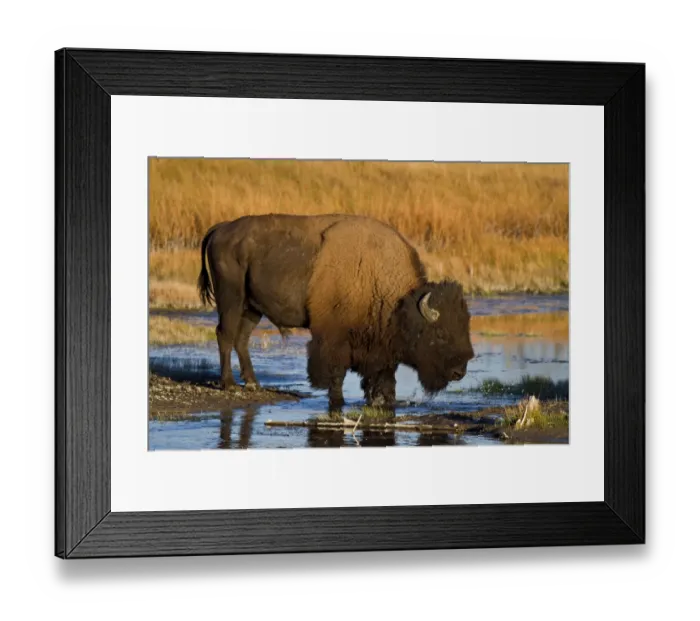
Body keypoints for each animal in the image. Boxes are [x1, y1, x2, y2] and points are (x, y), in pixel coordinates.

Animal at [197, 214, 474, 410]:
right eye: (440, 334)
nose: (460, 372)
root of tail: (221, 228)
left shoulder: (379, 346)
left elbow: (382, 377)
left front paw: (382, 401)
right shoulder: (332, 337)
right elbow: (335, 372)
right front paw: (338, 401)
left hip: (253, 307)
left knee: (241, 339)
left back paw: (253, 383)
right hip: (231, 298)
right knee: (225, 334)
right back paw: (229, 385)